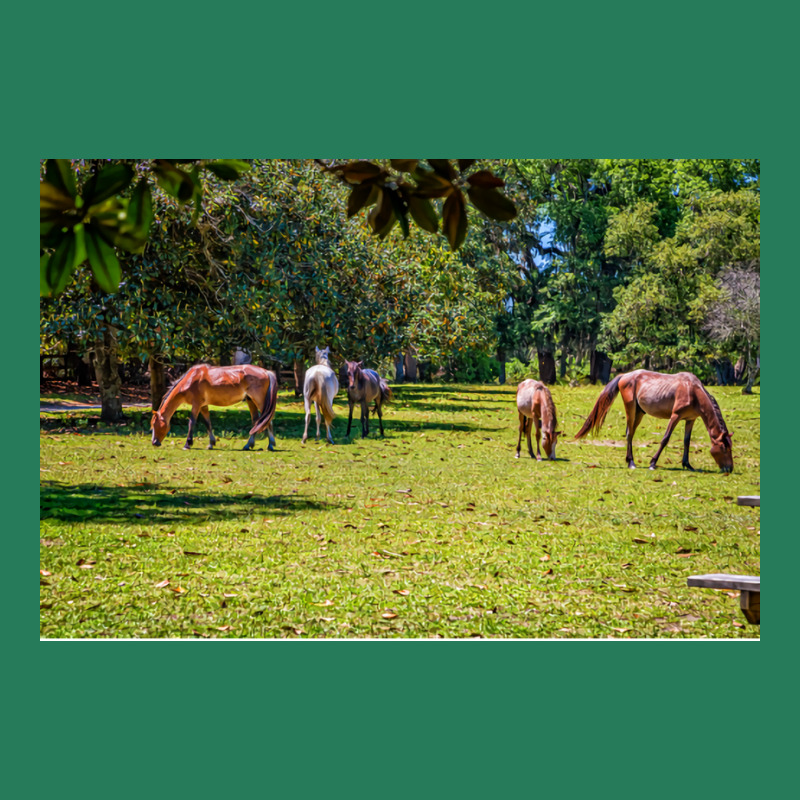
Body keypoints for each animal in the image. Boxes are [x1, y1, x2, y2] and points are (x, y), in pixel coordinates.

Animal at [152, 362, 280, 450]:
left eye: (154, 424)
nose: (154, 442)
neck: (191, 379)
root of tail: (266, 372)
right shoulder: (203, 406)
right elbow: (208, 423)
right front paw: (211, 444)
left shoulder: (196, 404)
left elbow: (191, 422)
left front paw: (187, 444)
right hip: (250, 401)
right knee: (256, 421)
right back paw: (248, 445)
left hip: (259, 401)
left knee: (267, 420)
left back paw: (270, 445)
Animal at [572, 372, 736, 472]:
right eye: (724, 448)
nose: (729, 469)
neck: (692, 390)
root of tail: (625, 375)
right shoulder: (675, 416)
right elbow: (665, 439)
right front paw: (652, 463)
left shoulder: (690, 419)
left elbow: (686, 442)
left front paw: (687, 464)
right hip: (631, 409)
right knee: (629, 433)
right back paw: (631, 463)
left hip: (639, 413)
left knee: (630, 433)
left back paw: (629, 460)